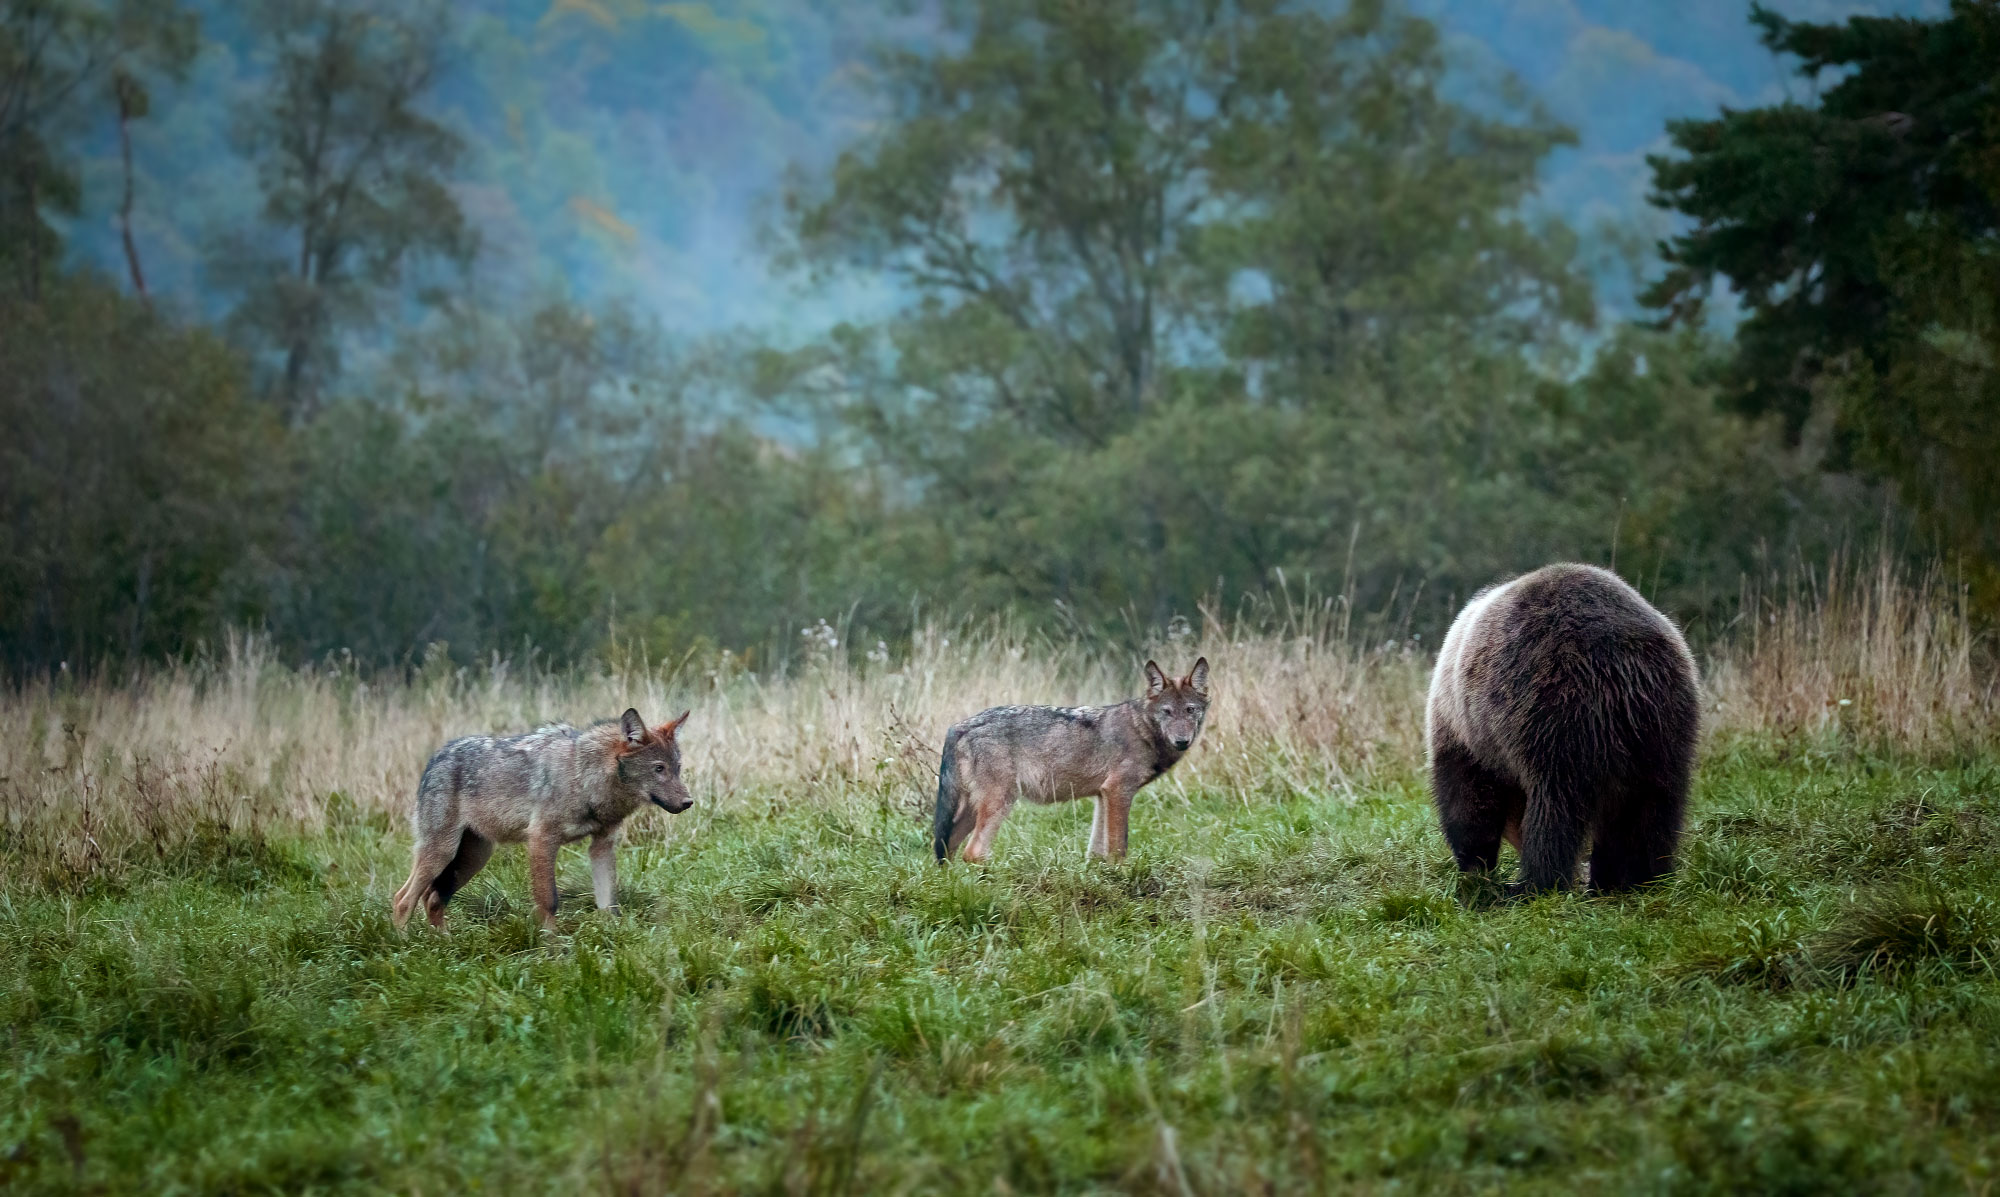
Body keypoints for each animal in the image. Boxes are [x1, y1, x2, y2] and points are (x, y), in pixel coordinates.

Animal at [390, 708, 696, 932]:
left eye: (678, 768)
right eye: (659, 769)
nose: (688, 802)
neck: (583, 777)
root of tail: (435, 758)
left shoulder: (602, 846)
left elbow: (608, 903)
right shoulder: (541, 840)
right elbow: (549, 901)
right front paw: (554, 952)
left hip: (472, 860)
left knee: (432, 899)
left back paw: (445, 946)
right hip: (443, 853)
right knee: (402, 899)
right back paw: (406, 950)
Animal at [932, 660, 1208, 868]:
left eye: (1190, 710)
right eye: (1167, 712)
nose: (1182, 741)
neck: (1142, 729)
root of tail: (958, 726)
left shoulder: (1103, 795)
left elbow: (1097, 852)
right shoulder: (1118, 791)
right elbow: (1118, 847)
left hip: (975, 808)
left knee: (947, 847)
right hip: (1001, 802)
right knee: (973, 852)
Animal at [1432, 568, 1696, 896]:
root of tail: (1620, 660)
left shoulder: (1463, 730)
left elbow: (1467, 798)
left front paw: (1475, 868)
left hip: (1553, 706)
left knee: (1556, 803)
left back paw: (1534, 884)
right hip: (1663, 719)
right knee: (1654, 802)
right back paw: (1639, 878)